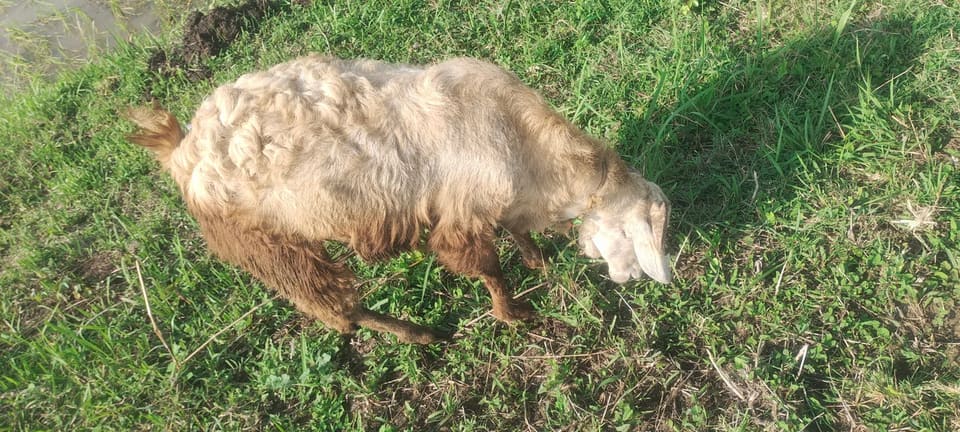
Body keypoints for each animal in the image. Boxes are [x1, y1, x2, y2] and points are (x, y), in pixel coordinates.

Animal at [127, 55, 671, 344]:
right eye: (634, 232)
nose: (630, 280)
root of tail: (180, 151)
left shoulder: (498, 201)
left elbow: (514, 231)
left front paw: (536, 259)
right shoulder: (461, 216)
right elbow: (486, 267)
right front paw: (514, 314)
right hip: (269, 245)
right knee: (336, 310)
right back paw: (419, 334)